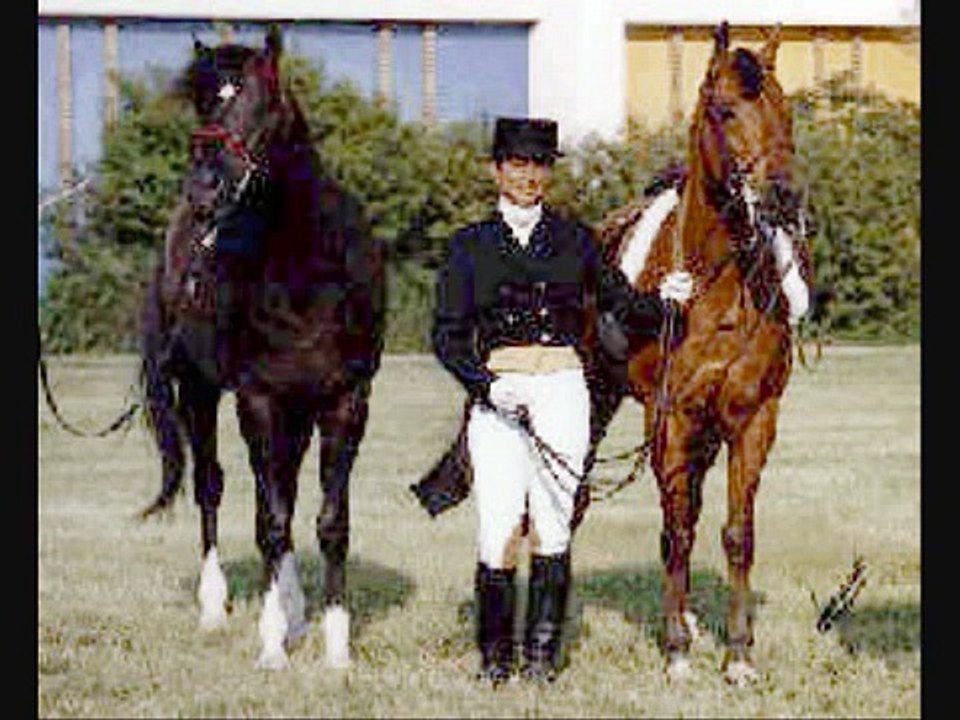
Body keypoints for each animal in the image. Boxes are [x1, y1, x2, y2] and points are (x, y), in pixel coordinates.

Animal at [138, 27, 386, 670]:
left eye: (258, 99)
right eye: (203, 101)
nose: (204, 188)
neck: (306, 273)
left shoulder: (345, 401)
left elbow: (329, 521)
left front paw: (336, 648)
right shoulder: (258, 400)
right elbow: (269, 522)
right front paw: (272, 645)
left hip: (295, 413)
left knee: (285, 491)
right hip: (200, 393)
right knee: (213, 487)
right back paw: (215, 608)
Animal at [594, 23, 812, 684]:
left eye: (785, 109)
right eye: (724, 109)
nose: (784, 196)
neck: (713, 290)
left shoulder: (751, 420)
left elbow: (736, 533)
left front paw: (737, 655)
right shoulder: (671, 418)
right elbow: (677, 532)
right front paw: (676, 651)